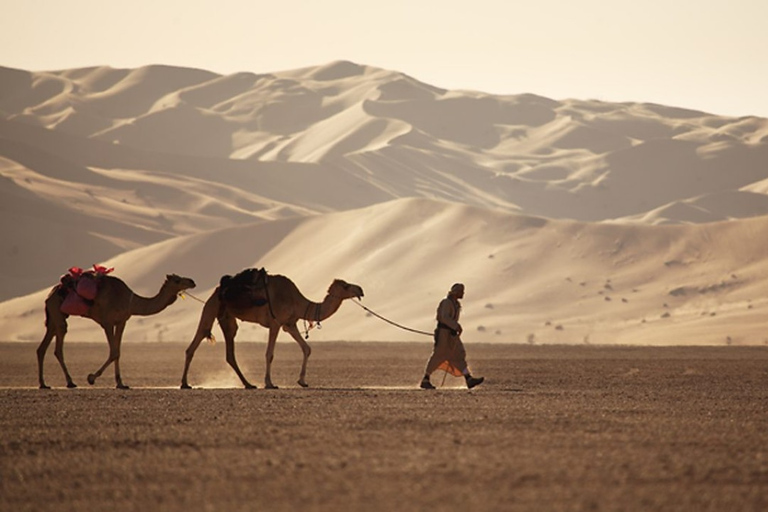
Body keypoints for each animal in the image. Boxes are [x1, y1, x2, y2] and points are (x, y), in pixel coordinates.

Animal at [37, 272, 196, 388]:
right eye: (177, 280)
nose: (192, 281)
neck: (130, 301)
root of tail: (50, 294)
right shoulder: (107, 322)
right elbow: (113, 352)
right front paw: (91, 378)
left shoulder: (121, 322)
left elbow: (118, 352)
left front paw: (120, 383)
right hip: (57, 312)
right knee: (58, 346)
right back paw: (70, 382)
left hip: (53, 317)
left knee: (42, 347)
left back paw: (44, 384)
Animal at [184, 268, 366, 388]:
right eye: (346, 286)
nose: (361, 290)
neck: (298, 301)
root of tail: (218, 289)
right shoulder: (275, 323)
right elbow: (269, 354)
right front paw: (269, 383)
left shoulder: (289, 324)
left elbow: (307, 348)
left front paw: (302, 381)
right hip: (211, 307)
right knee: (197, 340)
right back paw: (185, 383)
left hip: (227, 317)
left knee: (229, 352)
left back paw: (248, 384)